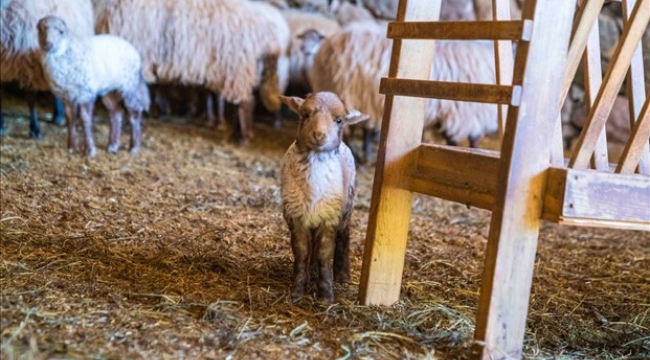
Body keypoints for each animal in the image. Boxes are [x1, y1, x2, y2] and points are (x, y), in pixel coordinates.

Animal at [37, 15, 149, 158]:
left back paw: (134, 148)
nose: (48, 44)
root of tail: (135, 52)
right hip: (110, 90)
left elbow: (85, 119)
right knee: (116, 113)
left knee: (134, 113)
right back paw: (112, 146)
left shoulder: (85, 93)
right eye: (40, 30)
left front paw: (90, 150)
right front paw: (71, 147)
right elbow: (70, 118)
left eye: (61, 32)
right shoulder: (67, 96)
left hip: (130, 86)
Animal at [93, 0, 288, 144]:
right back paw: (236, 134)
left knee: (245, 102)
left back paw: (242, 138)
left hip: (236, 66)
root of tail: (265, 33)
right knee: (244, 101)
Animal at [280, 92, 370, 304]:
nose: (319, 135)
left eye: (339, 120)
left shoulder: (330, 217)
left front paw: (326, 296)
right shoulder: (296, 215)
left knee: (344, 237)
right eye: (305, 114)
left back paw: (343, 276)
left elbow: (324, 254)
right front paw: (298, 290)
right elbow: (302, 252)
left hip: (347, 206)